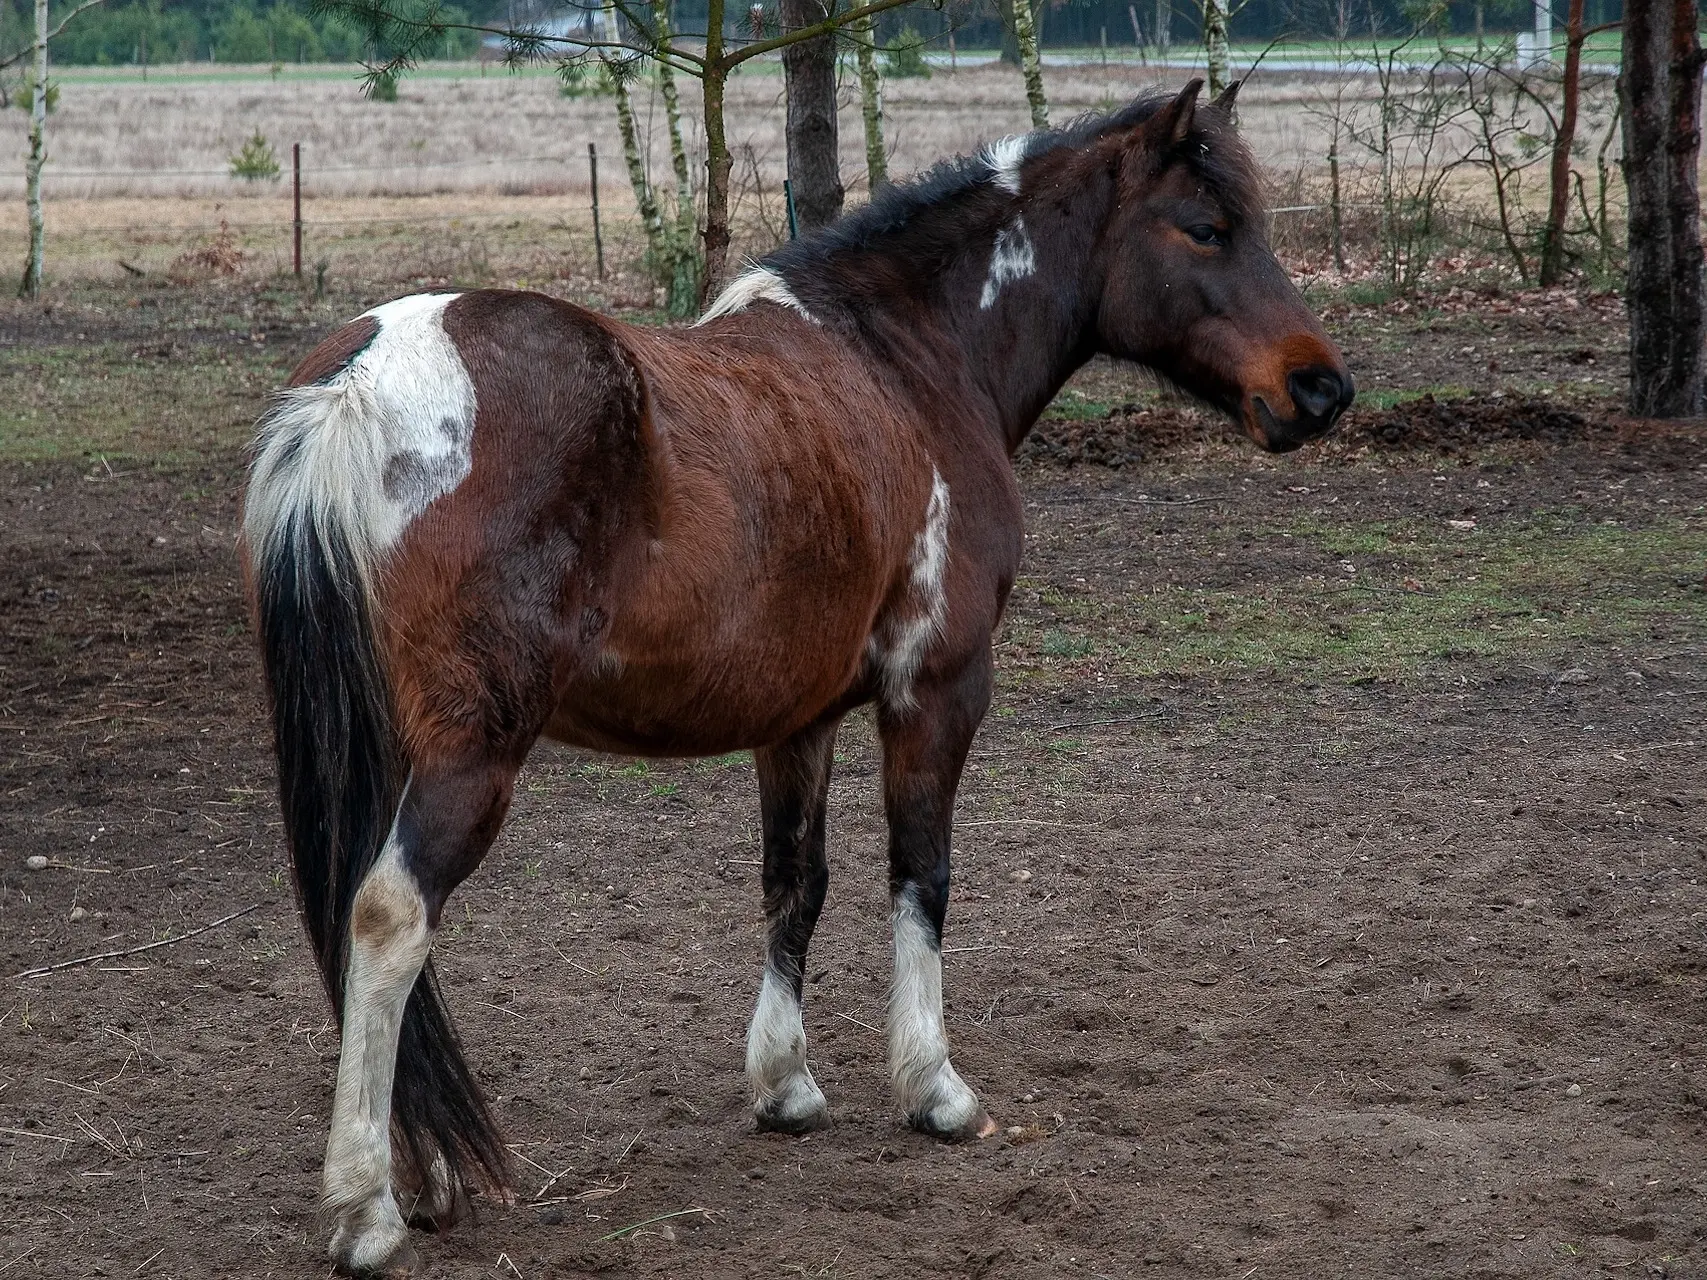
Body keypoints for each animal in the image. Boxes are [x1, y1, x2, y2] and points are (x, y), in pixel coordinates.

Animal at [247, 80, 1351, 1276]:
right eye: (1206, 226)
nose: (1320, 387)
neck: (907, 364)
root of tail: (362, 381)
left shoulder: (800, 717)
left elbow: (795, 882)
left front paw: (785, 1084)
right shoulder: (937, 691)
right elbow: (920, 874)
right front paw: (936, 1090)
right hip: (471, 754)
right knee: (389, 919)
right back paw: (366, 1206)